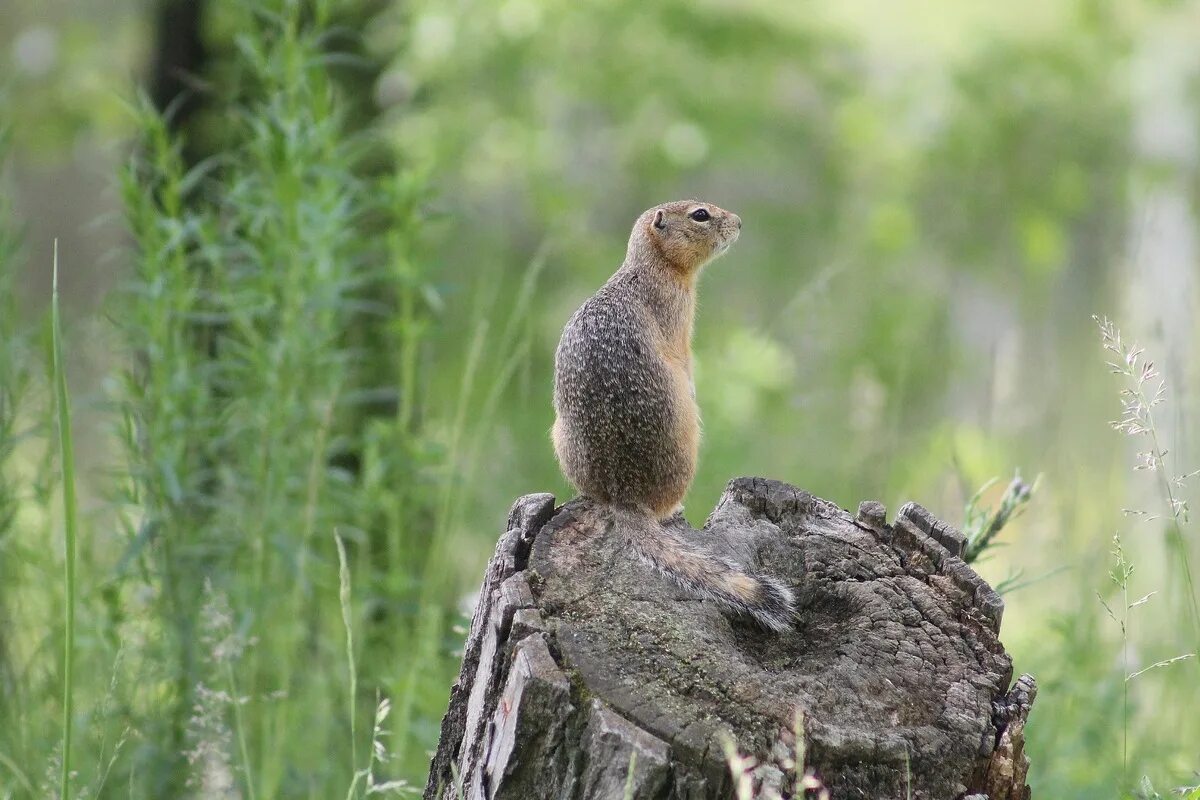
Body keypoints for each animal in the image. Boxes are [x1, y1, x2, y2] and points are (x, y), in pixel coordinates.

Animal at [552, 200, 796, 633]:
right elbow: (685, 360)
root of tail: (625, 496)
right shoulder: (678, 317)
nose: (739, 223)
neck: (650, 267)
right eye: (700, 215)